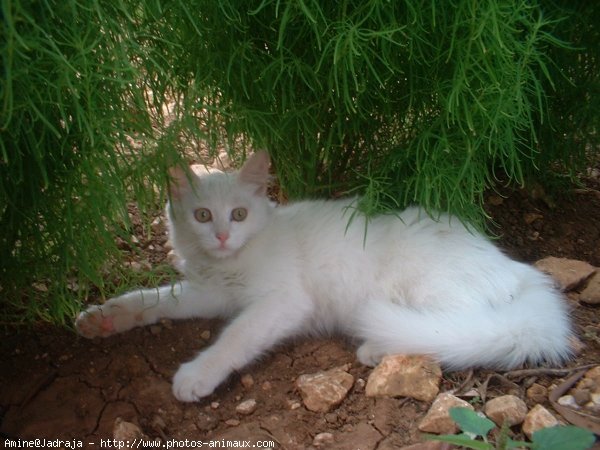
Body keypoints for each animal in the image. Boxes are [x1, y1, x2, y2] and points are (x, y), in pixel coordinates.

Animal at [75, 151, 572, 400]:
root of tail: (517, 269)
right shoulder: (209, 291)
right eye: (201, 215)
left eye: (238, 214)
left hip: (426, 286)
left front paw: (199, 373)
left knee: (457, 329)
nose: (221, 236)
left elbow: (235, 338)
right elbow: (155, 299)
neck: (231, 262)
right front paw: (104, 317)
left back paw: (377, 346)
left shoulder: (281, 303)